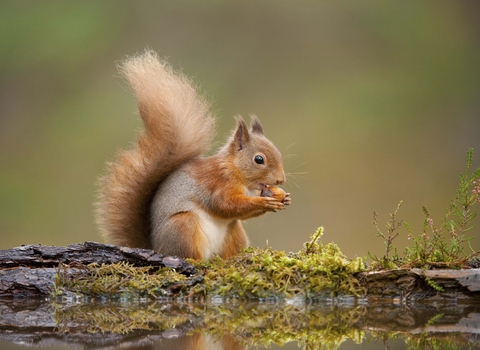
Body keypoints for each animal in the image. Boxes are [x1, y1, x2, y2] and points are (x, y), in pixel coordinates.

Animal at [94, 51, 288, 260]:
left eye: (278, 153)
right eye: (259, 159)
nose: (281, 180)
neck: (237, 172)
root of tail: (157, 247)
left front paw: (284, 198)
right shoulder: (217, 183)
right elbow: (225, 205)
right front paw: (264, 201)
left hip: (233, 231)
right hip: (183, 226)